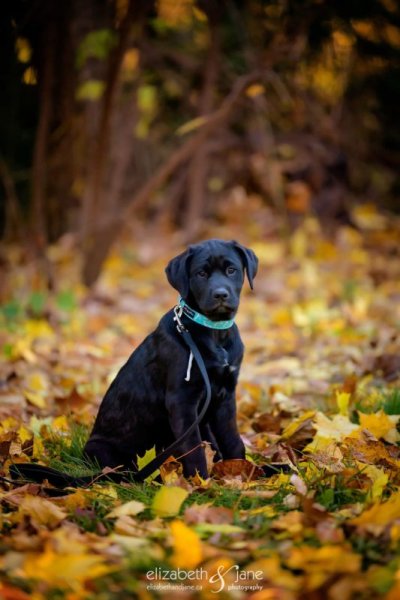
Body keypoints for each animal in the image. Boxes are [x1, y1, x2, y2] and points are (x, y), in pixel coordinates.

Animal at [83, 239, 258, 479]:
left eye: (231, 270)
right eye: (201, 273)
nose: (221, 295)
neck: (214, 331)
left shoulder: (226, 395)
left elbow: (232, 440)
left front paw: (240, 473)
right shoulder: (182, 401)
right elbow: (193, 449)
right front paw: (200, 482)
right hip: (103, 450)